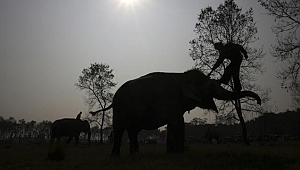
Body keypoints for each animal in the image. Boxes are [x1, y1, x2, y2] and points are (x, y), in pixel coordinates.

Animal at [89, 69, 260, 155]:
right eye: (211, 87)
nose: (258, 101)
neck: (182, 76)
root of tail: (113, 99)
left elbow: (175, 122)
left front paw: (173, 153)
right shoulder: (171, 102)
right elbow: (177, 122)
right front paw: (177, 154)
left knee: (133, 131)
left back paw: (135, 154)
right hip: (121, 108)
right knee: (119, 129)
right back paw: (116, 155)